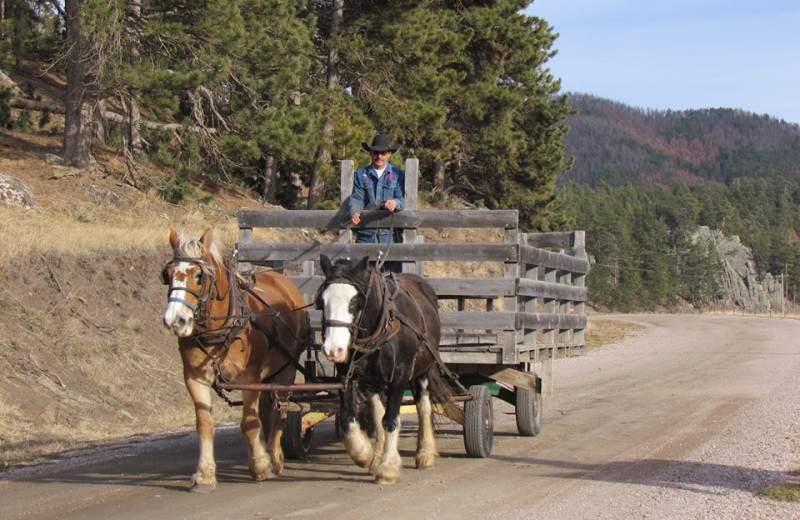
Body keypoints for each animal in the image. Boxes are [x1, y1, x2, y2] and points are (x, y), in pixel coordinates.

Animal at [162, 229, 310, 492]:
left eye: (199, 275)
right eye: (167, 274)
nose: (174, 320)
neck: (221, 327)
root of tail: (281, 279)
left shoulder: (248, 377)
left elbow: (248, 423)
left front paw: (260, 465)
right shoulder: (194, 377)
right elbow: (204, 424)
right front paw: (204, 475)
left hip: (285, 371)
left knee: (281, 412)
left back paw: (275, 458)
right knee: (269, 411)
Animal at [316, 254, 460, 486]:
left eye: (354, 301)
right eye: (322, 301)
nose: (333, 350)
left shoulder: (400, 377)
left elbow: (392, 419)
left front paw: (388, 467)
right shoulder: (348, 376)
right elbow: (349, 418)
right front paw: (364, 453)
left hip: (422, 370)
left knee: (423, 407)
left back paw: (425, 453)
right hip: (372, 382)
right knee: (377, 412)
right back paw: (377, 457)